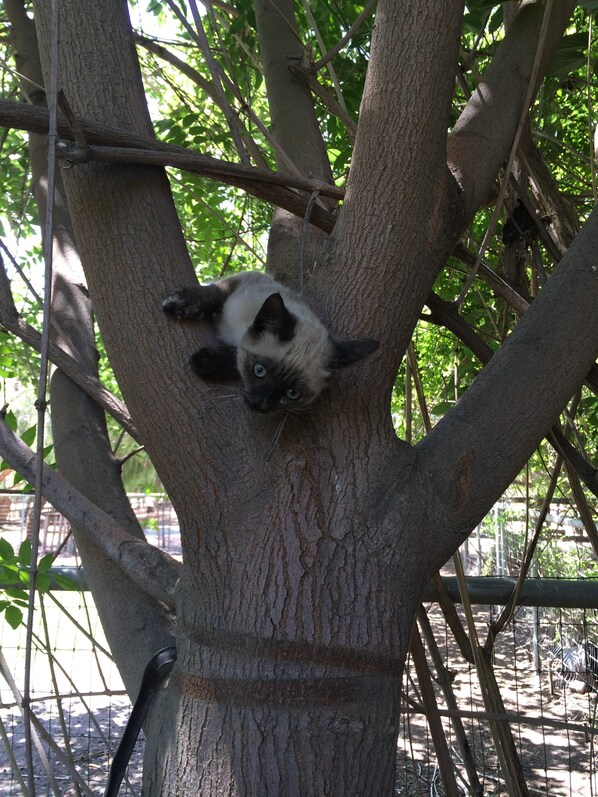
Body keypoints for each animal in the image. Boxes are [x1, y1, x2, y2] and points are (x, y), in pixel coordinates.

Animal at [164, 272, 380, 410]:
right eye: (259, 371)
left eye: (292, 394)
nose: (260, 405)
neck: (235, 333)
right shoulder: (243, 281)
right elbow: (213, 293)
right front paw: (180, 302)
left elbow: (235, 355)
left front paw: (206, 361)